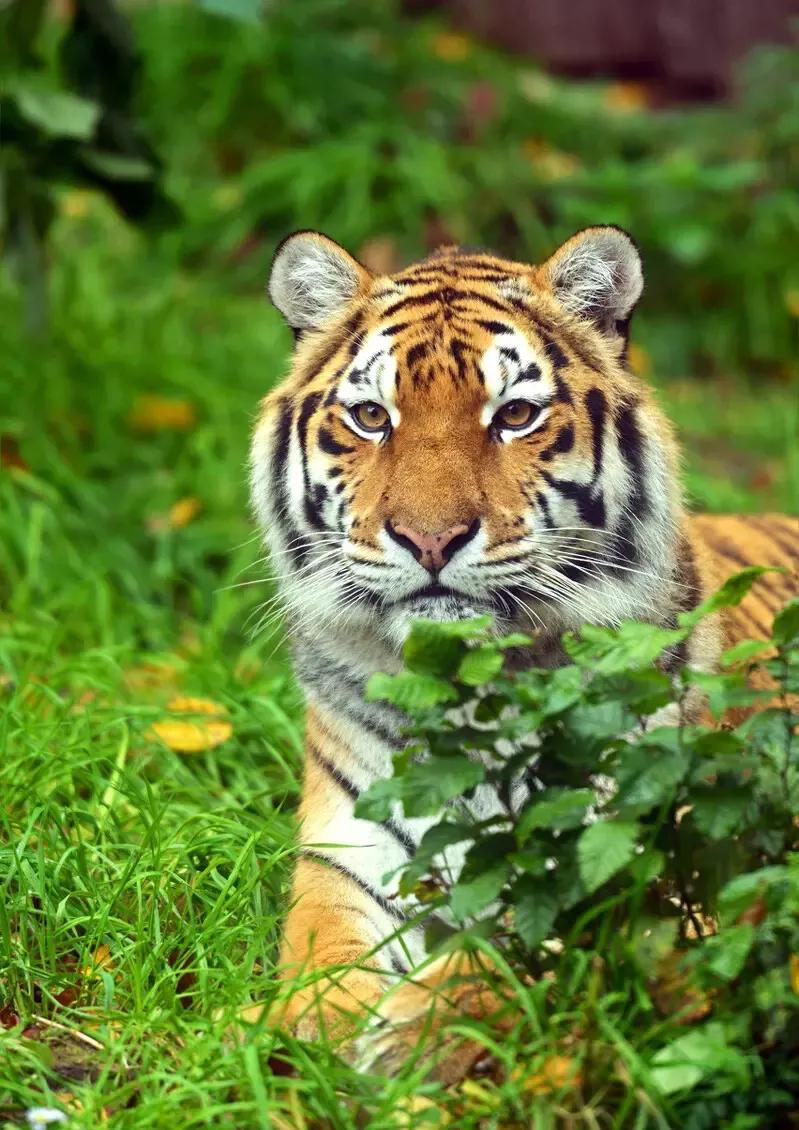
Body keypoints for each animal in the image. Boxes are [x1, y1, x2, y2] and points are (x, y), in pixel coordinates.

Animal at [246, 222, 795, 1075]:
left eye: (513, 415)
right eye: (370, 416)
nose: (428, 539)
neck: (465, 695)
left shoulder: (651, 863)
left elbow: (510, 939)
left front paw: (410, 1029)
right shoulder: (342, 857)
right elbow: (320, 955)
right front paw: (307, 1027)